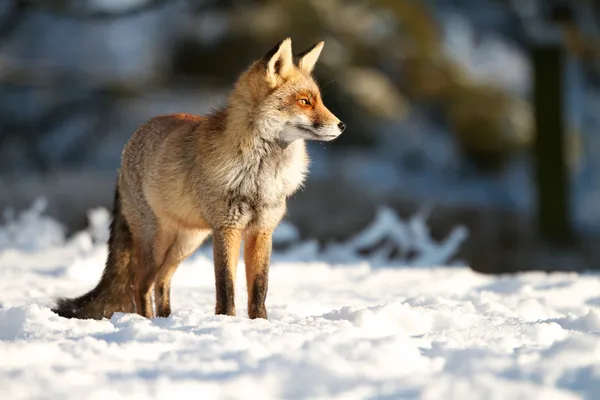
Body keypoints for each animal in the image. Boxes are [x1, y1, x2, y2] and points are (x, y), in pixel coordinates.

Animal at [54, 36, 344, 318]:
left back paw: (166, 320)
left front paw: (260, 324)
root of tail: (128, 145)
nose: (342, 125)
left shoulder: (262, 230)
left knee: (161, 282)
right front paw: (226, 321)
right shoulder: (227, 229)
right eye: (304, 101)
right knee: (140, 285)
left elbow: (259, 290)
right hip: (156, 243)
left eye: (319, 100)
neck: (258, 177)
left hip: (186, 243)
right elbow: (225, 287)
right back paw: (146, 322)